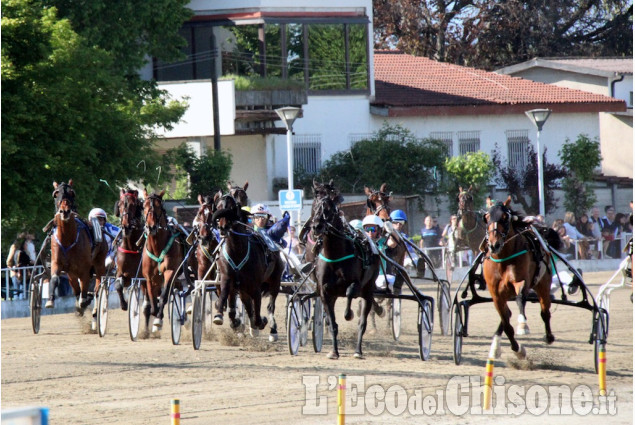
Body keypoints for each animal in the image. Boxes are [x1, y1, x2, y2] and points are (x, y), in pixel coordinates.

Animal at [47, 177, 107, 314]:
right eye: (56, 194)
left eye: (72, 193)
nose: (65, 211)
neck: (67, 239)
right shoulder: (57, 263)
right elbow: (55, 278)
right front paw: (50, 300)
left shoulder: (85, 267)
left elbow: (85, 285)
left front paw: (84, 300)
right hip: (71, 272)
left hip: (99, 262)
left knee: (98, 283)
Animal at [141, 188, 184, 332]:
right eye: (144, 206)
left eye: (159, 207)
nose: (151, 227)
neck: (157, 248)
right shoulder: (149, 277)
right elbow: (153, 301)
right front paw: (155, 314)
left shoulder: (170, 271)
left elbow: (164, 296)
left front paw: (158, 320)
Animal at [214, 190, 284, 340]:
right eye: (218, 206)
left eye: (232, 208)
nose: (222, 227)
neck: (237, 252)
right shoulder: (228, 279)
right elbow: (227, 302)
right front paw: (222, 317)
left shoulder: (255, 286)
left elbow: (257, 313)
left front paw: (260, 322)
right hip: (243, 289)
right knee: (247, 303)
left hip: (274, 281)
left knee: (270, 306)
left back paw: (272, 329)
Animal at [310, 181, 380, 360]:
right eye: (315, 205)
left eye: (329, 208)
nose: (317, 226)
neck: (335, 254)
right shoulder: (325, 292)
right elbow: (332, 323)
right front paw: (334, 352)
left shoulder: (356, 283)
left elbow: (349, 293)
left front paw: (349, 314)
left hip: (368, 290)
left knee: (362, 322)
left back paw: (358, 351)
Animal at [484, 198, 556, 358]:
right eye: (486, 217)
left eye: (505, 218)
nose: (494, 244)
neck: (503, 259)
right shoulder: (496, 294)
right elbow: (506, 323)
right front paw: (517, 349)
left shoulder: (521, 281)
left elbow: (520, 298)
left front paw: (523, 325)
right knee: (507, 315)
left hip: (543, 282)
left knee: (545, 312)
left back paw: (549, 336)